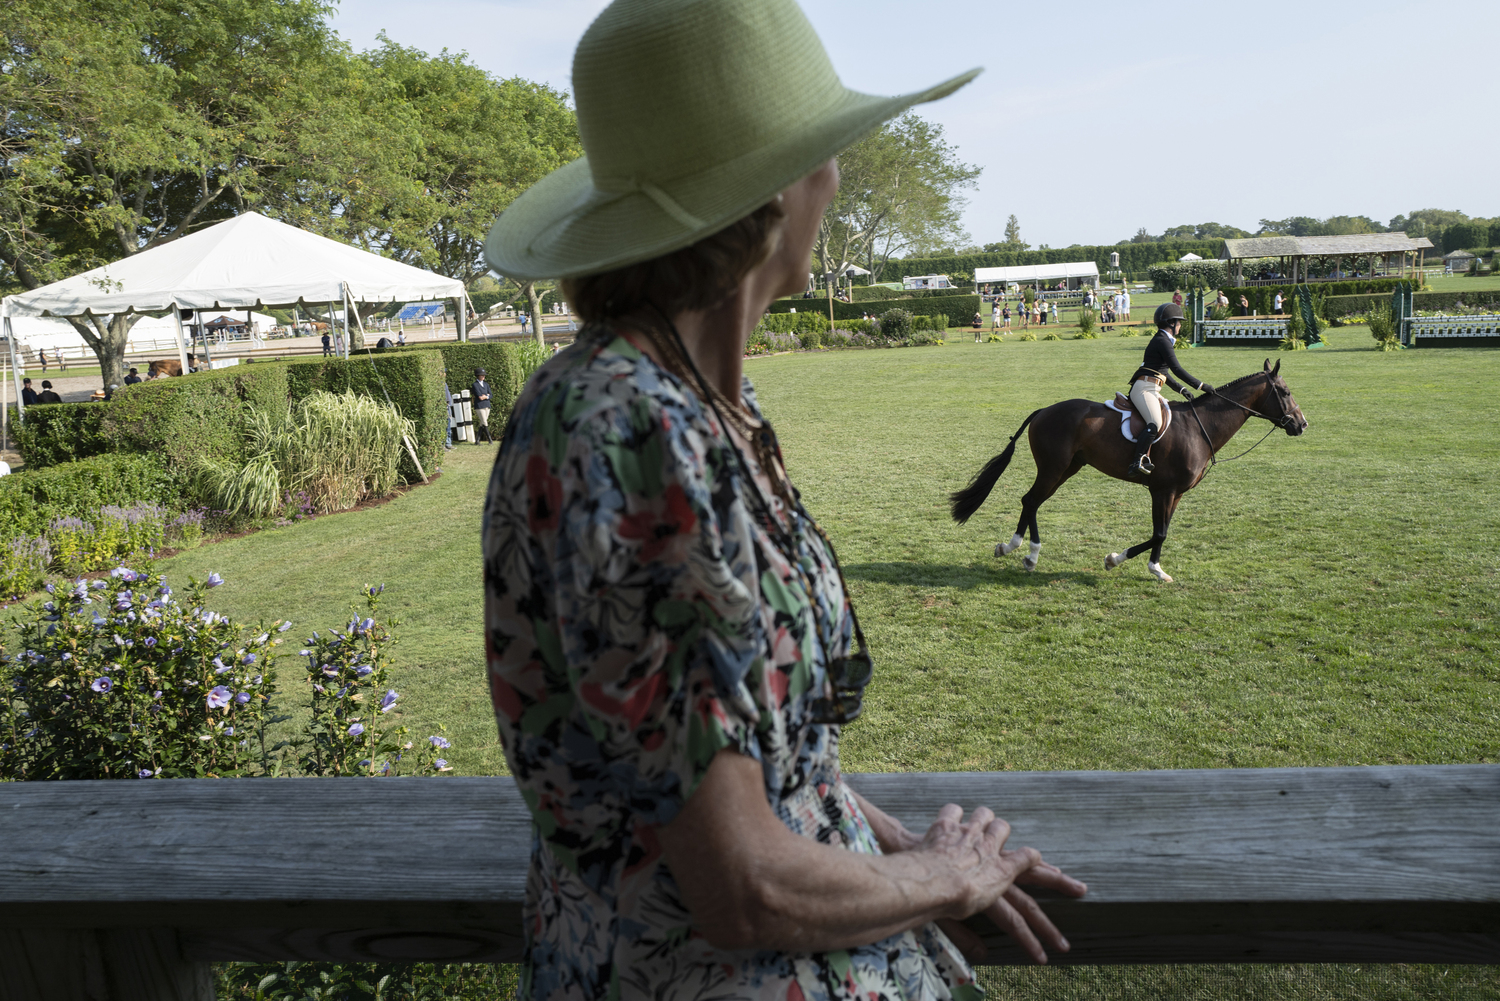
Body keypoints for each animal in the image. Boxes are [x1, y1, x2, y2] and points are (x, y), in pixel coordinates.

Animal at [954, 358, 1308, 579]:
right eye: (1285, 392)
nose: (1302, 424)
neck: (1201, 427)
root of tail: (1043, 411)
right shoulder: (1162, 490)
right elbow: (1159, 532)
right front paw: (1116, 560)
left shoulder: (1175, 493)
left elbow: (1161, 532)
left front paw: (1155, 569)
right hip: (1054, 468)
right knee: (1030, 501)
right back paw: (1024, 552)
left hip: (1068, 468)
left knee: (1033, 502)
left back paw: (1017, 550)